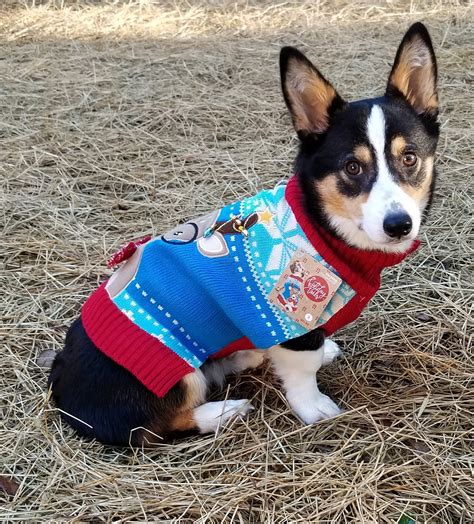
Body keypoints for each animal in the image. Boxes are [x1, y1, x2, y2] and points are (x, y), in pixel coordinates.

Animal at [49, 22, 440, 444]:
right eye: (352, 167)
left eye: (409, 158)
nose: (399, 224)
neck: (324, 225)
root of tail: (60, 382)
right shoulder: (285, 319)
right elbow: (303, 372)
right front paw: (314, 408)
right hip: (174, 368)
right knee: (154, 427)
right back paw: (224, 412)